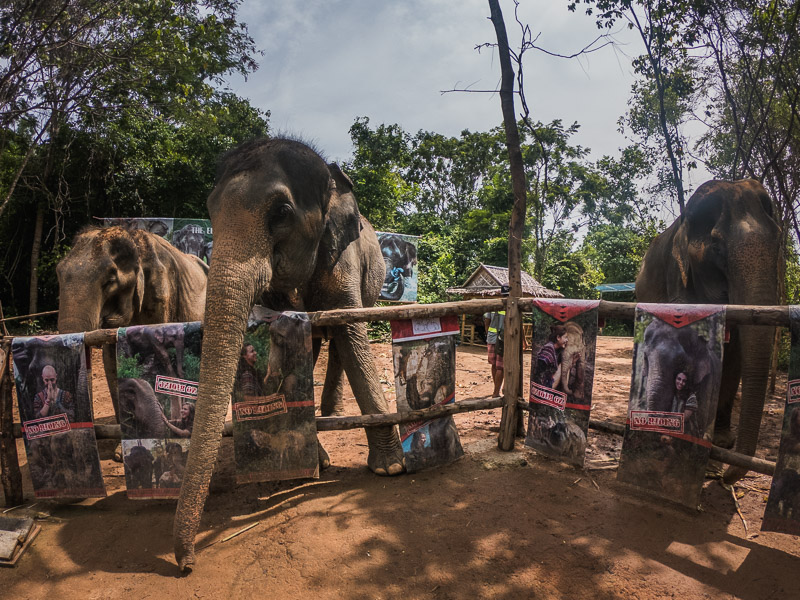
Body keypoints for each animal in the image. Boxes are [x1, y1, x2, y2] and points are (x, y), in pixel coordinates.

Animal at [172, 137, 404, 572]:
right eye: (210, 210)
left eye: (280, 213)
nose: (186, 566)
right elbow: (304, 342)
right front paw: (318, 459)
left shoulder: (343, 262)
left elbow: (352, 333)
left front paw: (391, 468)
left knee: (341, 344)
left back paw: (332, 414)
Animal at [636, 178, 780, 482]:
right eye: (716, 247)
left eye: (779, 241)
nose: (725, 478)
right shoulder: (677, 276)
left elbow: (736, 351)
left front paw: (722, 442)